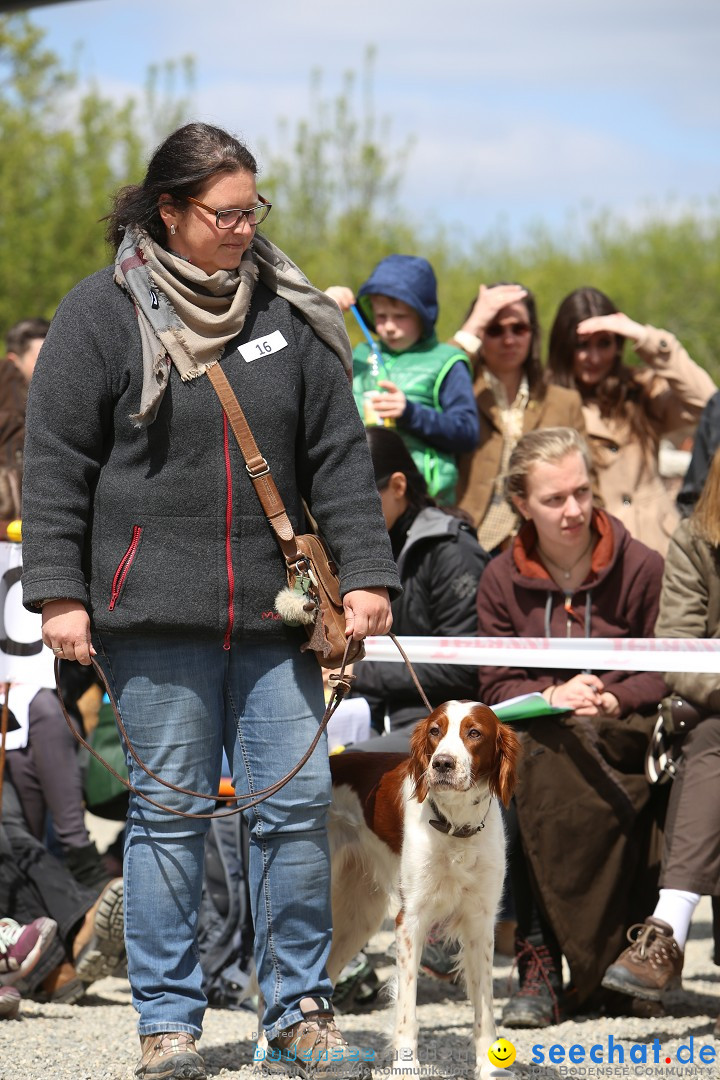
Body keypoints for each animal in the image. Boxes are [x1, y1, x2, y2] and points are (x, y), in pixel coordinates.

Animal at [330, 699, 520, 1080]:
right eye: (435, 730)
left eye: (474, 732)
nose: (442, 763)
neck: (455, 827)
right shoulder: (410, 922)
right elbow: (407, 1012)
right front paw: (407, 1067)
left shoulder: (481, 924)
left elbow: (485, 1009)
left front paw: (487, 1067)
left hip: (358, 919)